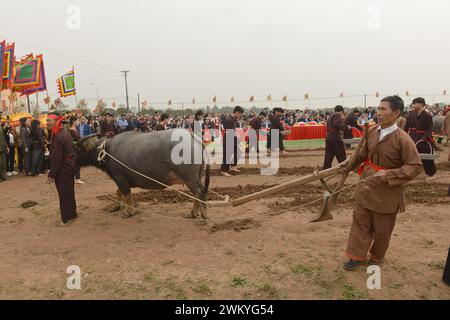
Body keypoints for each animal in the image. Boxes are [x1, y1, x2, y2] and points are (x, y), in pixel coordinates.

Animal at [75, 129, 211, 219]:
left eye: (79, 149)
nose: (72, 159)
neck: (107, 151)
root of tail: (192, 136)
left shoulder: (120, 177)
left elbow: (126, 194)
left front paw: (129, 212)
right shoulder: (120, 179)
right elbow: (118, 192)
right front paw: (116, 207)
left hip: (189, 177)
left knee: (198, 192)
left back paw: (201, 214)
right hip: (197, 175)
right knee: (197, 193)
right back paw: (194, 213)